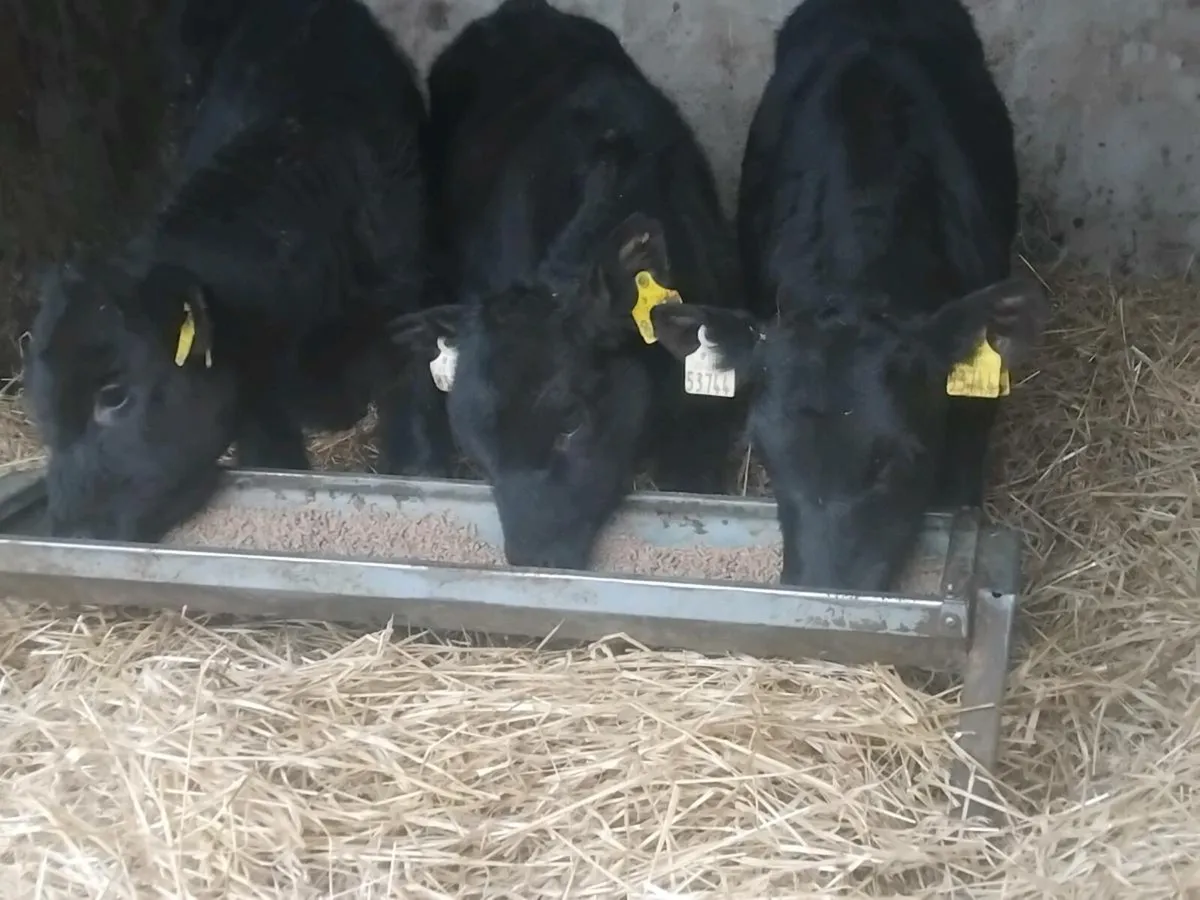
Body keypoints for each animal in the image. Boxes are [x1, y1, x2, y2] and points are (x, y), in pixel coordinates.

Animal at [24, 0, 452, 543]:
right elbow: (276, 460)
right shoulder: (254, 381)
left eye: (114, 396)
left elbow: (417, 447)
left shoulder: (404, 307)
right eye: (41, 407)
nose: (68, 529)